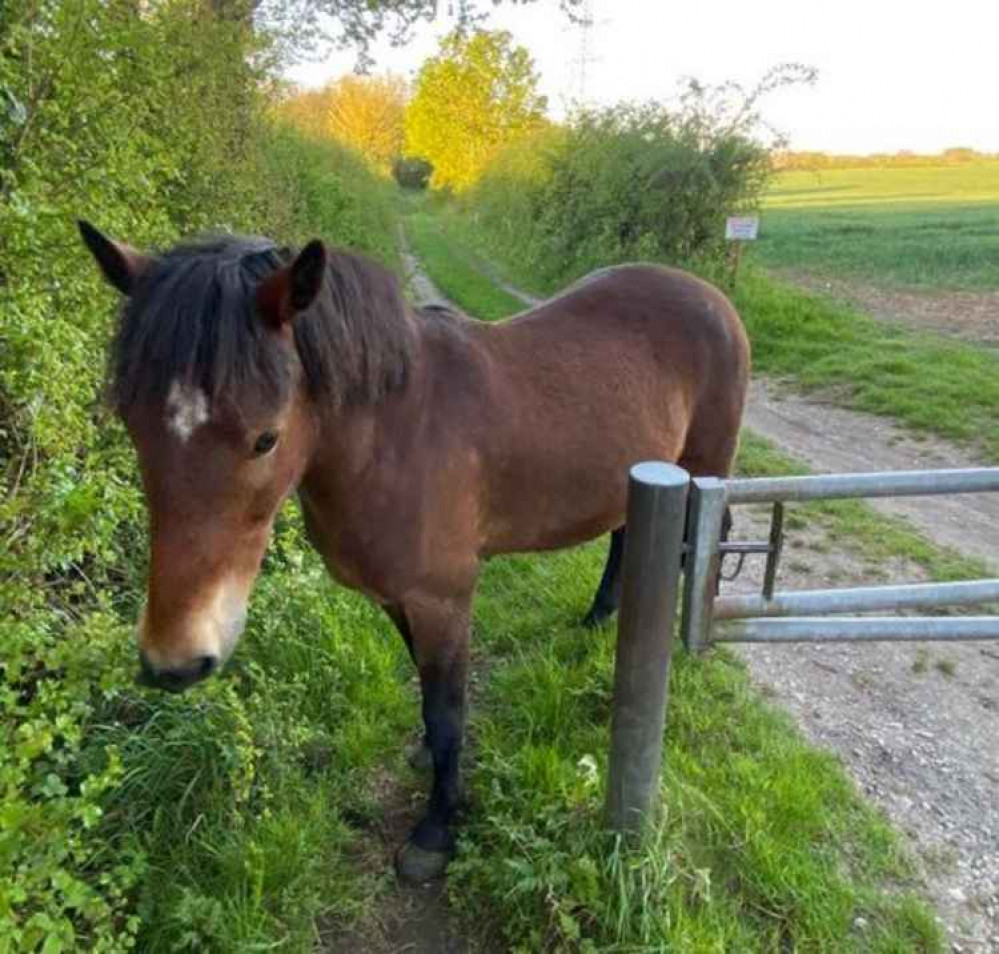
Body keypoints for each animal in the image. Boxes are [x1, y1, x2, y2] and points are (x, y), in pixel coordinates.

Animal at [80, 221, 752, 876]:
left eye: (265, 438)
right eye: (132, 424)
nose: (174, 661)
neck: (395, 435)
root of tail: (711, 295)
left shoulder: (442, 600)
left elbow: (447, 710)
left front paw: (436, 830)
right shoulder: (397, 597)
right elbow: (427, 694)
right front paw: (430, 762)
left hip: (703, 469)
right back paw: (598, 617)